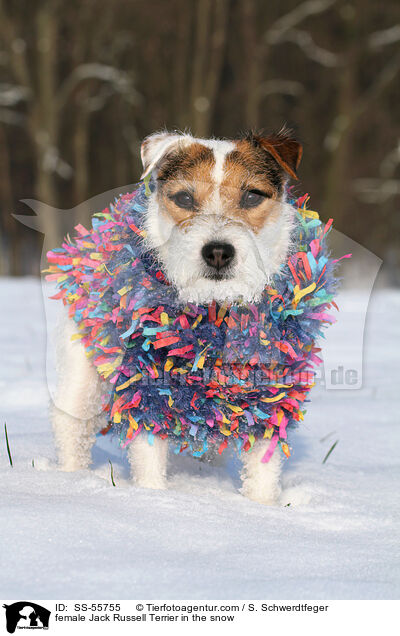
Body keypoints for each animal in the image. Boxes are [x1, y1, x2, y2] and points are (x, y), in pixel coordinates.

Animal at [50, 130, 304, 506]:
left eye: (252, 195)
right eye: (184, 197)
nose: (218, 251)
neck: (213, 310)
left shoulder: (267, 393)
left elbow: (262, 467)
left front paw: (261, 509)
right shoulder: (146, 389)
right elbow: (148, 455)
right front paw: (156, 502)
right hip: (82, 379)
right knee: (72, 427)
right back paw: (69, 481)